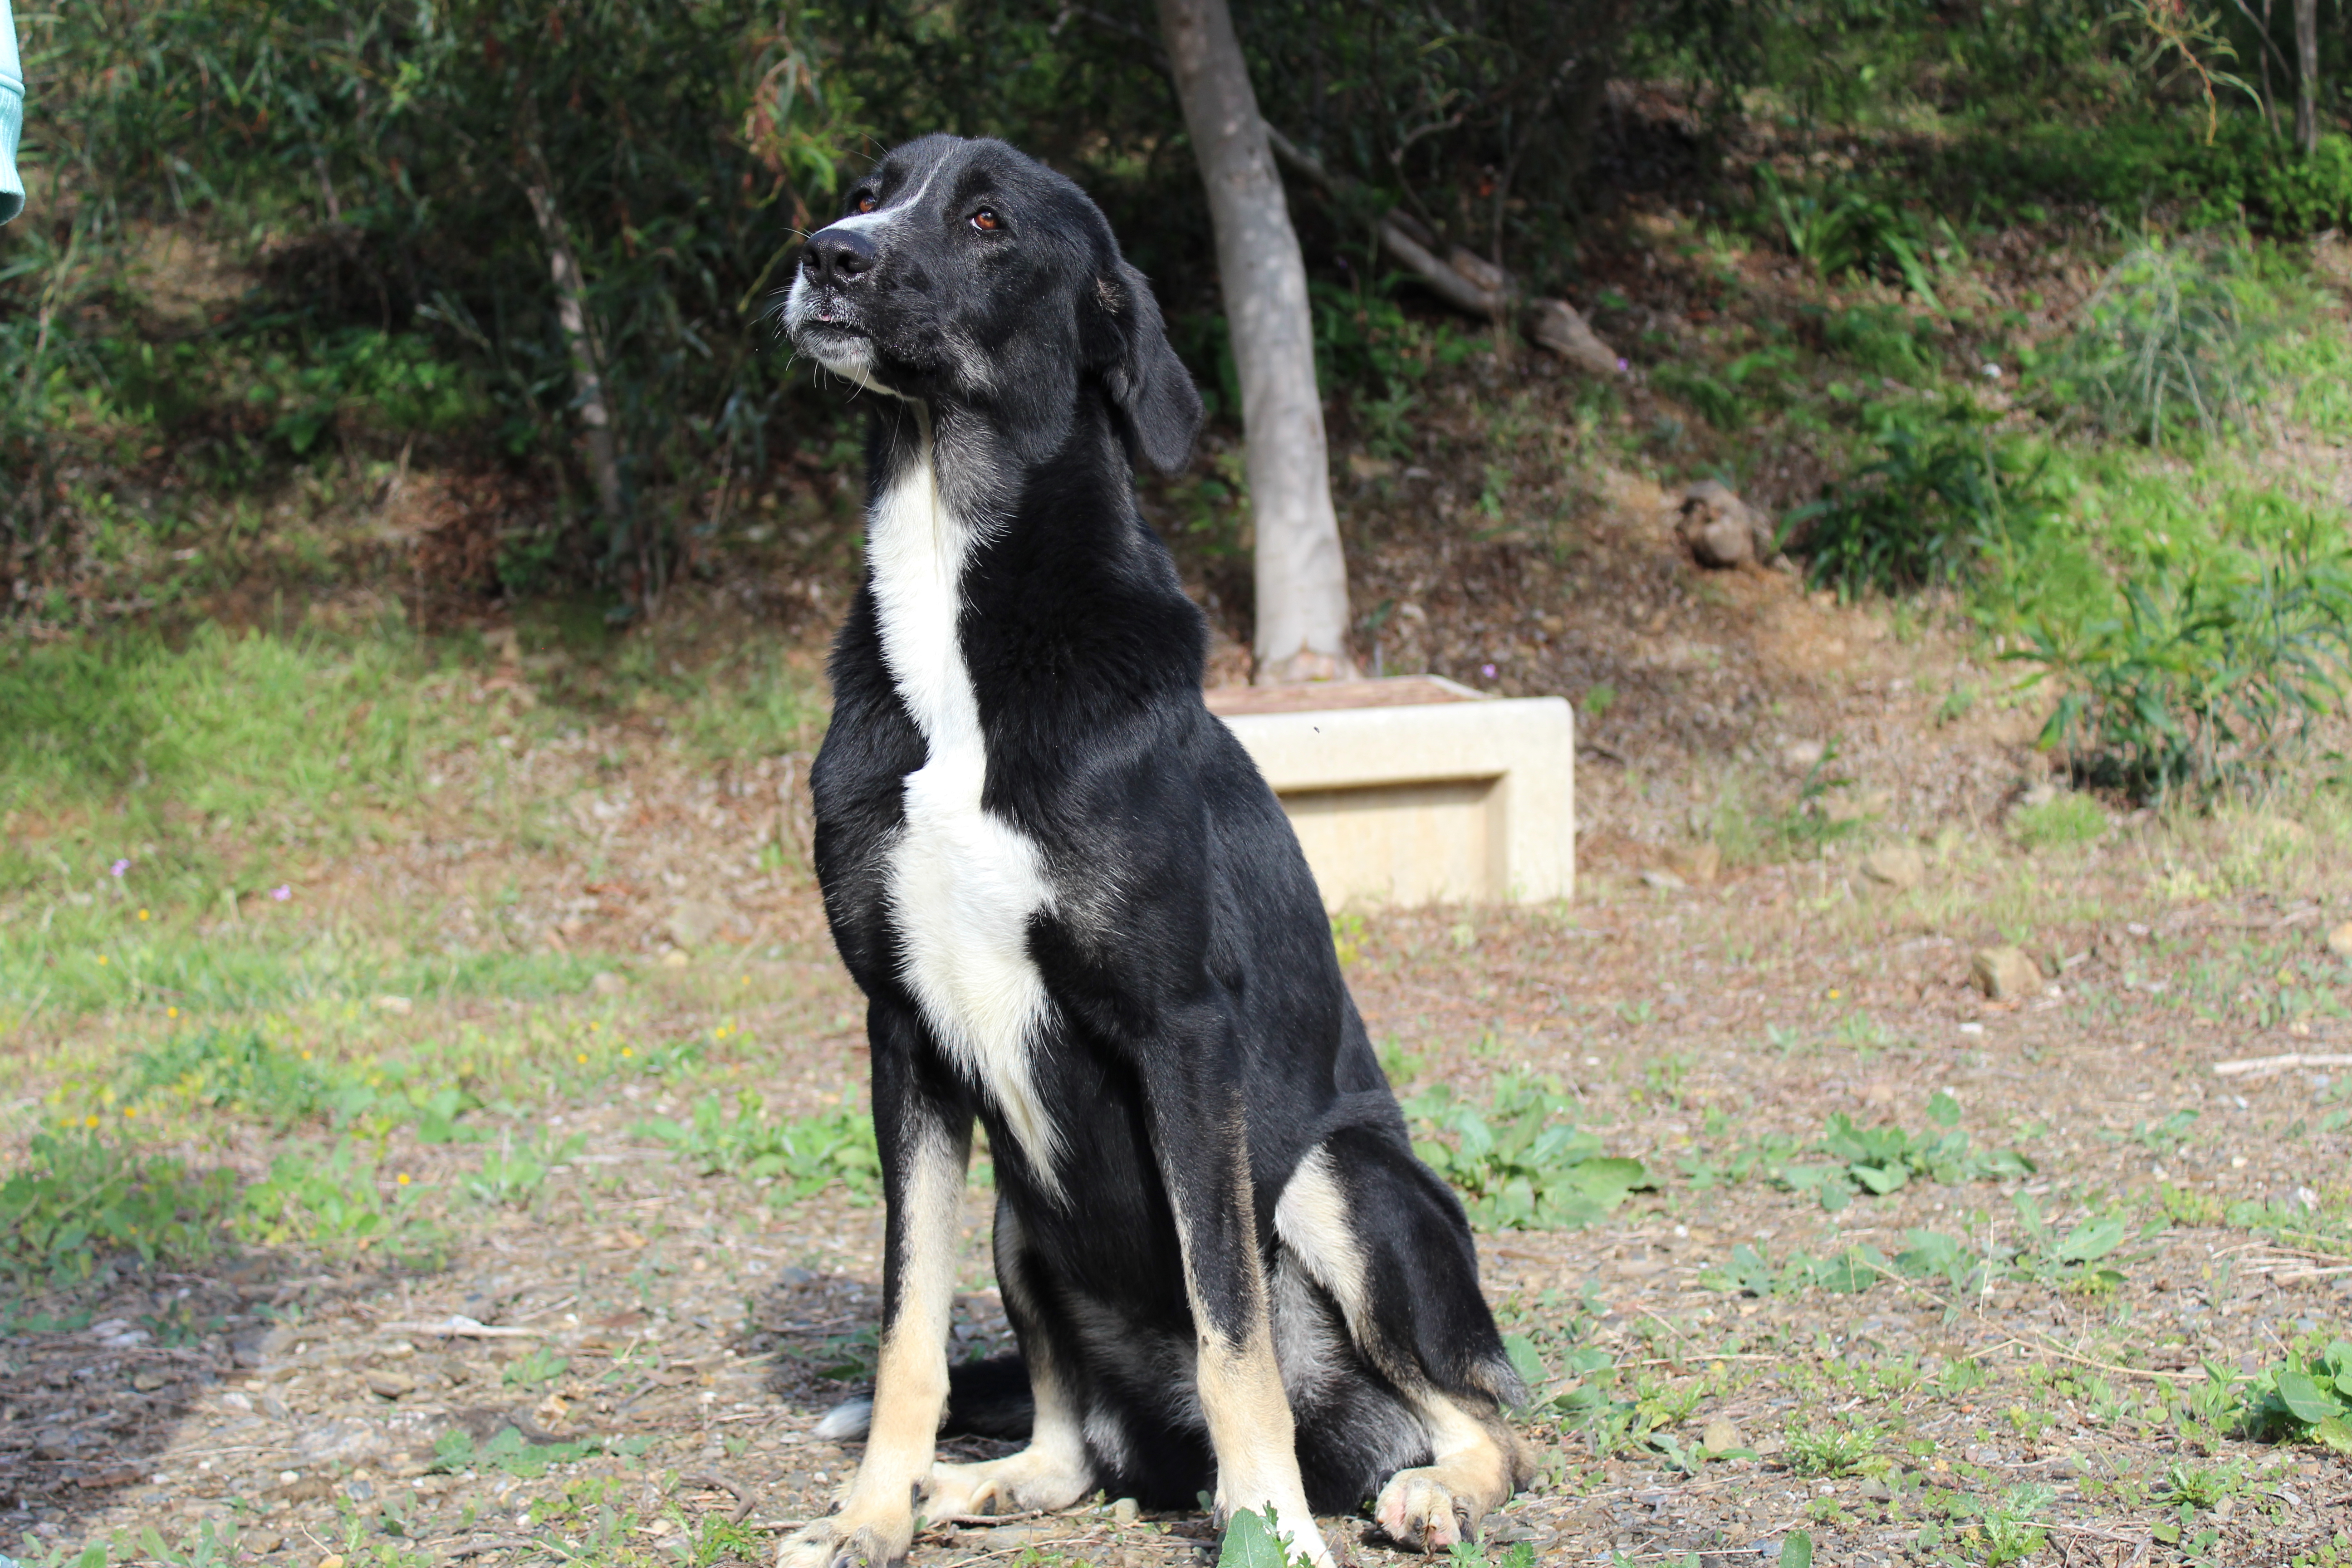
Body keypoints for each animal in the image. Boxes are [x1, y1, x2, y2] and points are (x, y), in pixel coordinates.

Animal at [781, 135, 1533, 1568]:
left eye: (986, 221)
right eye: (868, 186)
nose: (824, 253)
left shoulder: (1180, 1032)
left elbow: (1230, 1319)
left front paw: (1272, 1528)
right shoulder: (903, 1035)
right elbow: (908, 1323)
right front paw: (868, 1515)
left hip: (1343, 1183)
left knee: (1483, 1418)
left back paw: (1424, 1489)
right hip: (1024, 1214)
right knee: (1076, 1445)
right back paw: (979, 1482)